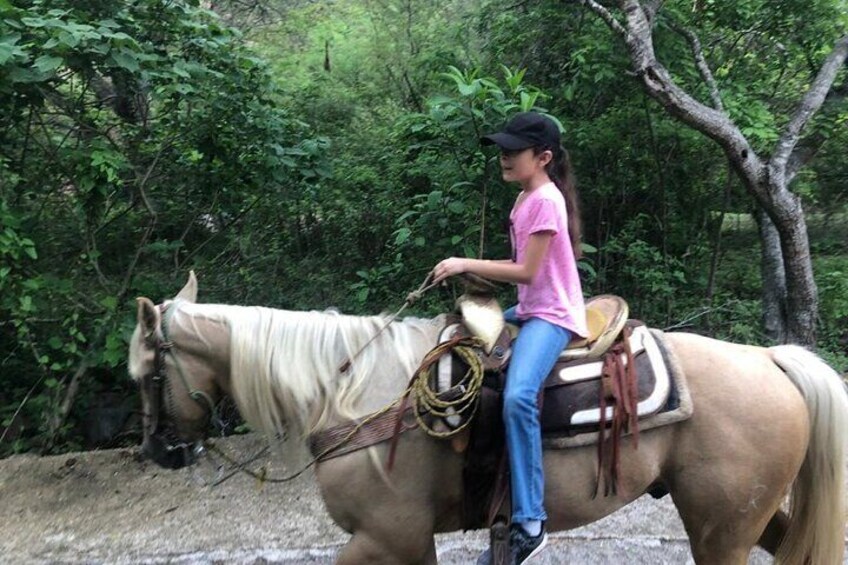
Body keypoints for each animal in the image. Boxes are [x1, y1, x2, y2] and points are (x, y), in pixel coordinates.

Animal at [127, 270, 848, 560]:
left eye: (147, 373)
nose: (159, 451)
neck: (353, 390)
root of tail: (770, 359)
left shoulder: (387, 536)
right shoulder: (405, 541)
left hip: (721, 530)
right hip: (744, 518)